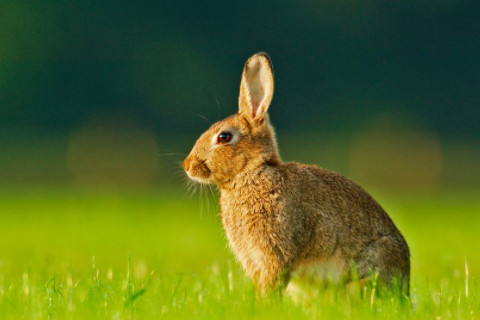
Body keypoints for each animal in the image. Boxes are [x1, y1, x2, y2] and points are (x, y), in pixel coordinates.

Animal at [183, 52, 408, 296]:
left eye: (224, 137)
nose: (188, 165)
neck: (251, 172)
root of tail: (406, 281)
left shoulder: (276, 252)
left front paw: (266, 302)